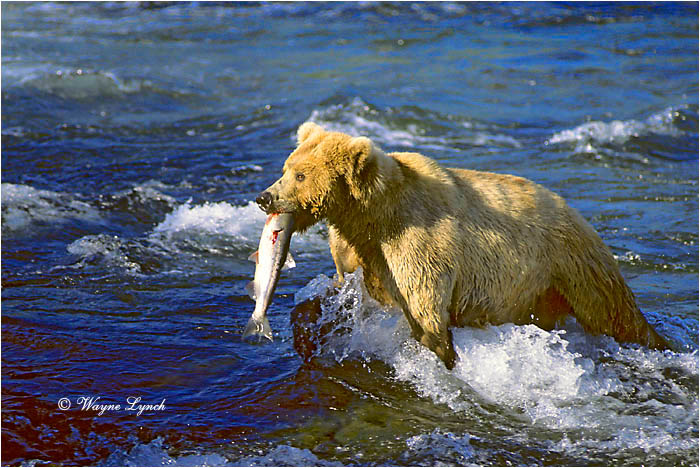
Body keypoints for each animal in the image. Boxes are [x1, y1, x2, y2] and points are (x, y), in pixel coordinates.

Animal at [256, 122, 668, 369]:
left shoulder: (415, 243)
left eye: (300, 174)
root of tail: (575, 211)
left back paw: (656, 340)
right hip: (539, 290)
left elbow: (425, 308)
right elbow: (343, 290)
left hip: (572, 264)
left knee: (615, 313)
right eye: (287, 167)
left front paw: (442, 353)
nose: (265, 197)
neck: (371, 214)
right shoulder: (356, 249)